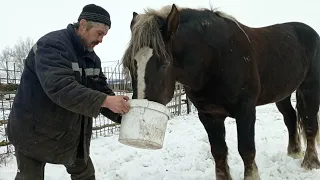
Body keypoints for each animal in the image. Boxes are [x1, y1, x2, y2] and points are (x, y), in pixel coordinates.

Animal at [120, 4, 320, 180]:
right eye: (129, 64)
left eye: (164, 64)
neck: (215, 60)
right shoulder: (209, 115)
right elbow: (218, 151)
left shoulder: (246, 111)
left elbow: (246, 149)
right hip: (283, 94)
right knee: (291, 117)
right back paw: (294, 152)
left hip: (309, 89)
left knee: (309, 123)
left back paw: (310, 162)